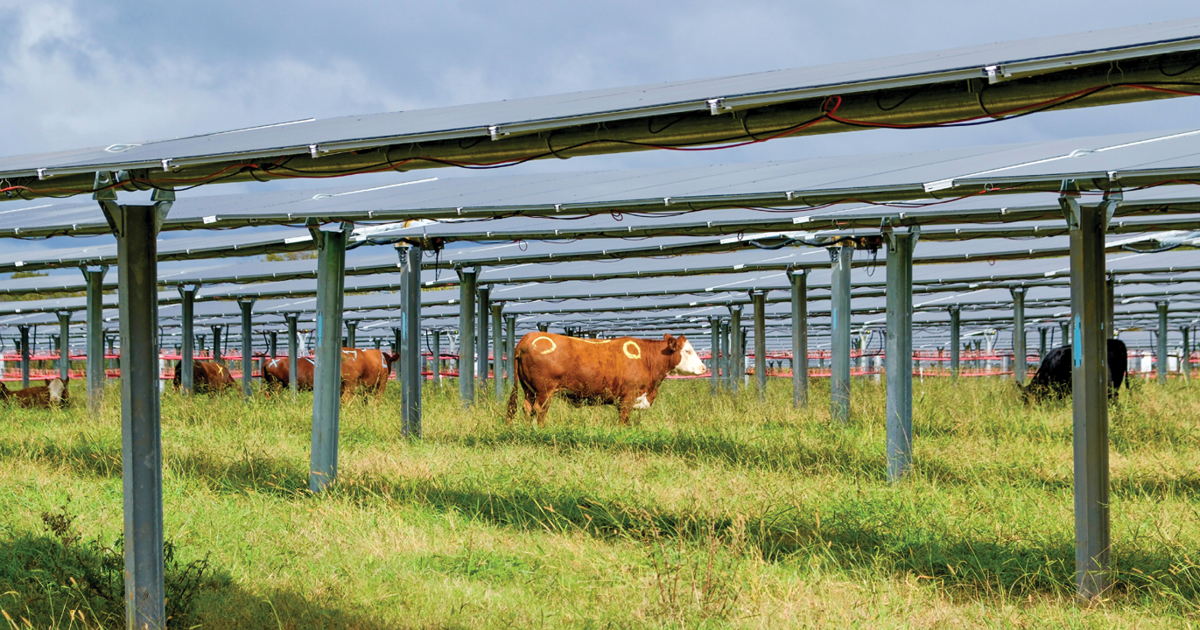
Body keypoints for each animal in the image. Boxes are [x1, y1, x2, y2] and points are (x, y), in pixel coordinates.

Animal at [506, 332, 706, 425]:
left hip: (529, 390)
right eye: (687, 351)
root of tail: (528, 338)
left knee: (527, 408)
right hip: (545, 390)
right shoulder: (628, 397)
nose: (703, 368)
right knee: (539, 410)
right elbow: (623, 421)